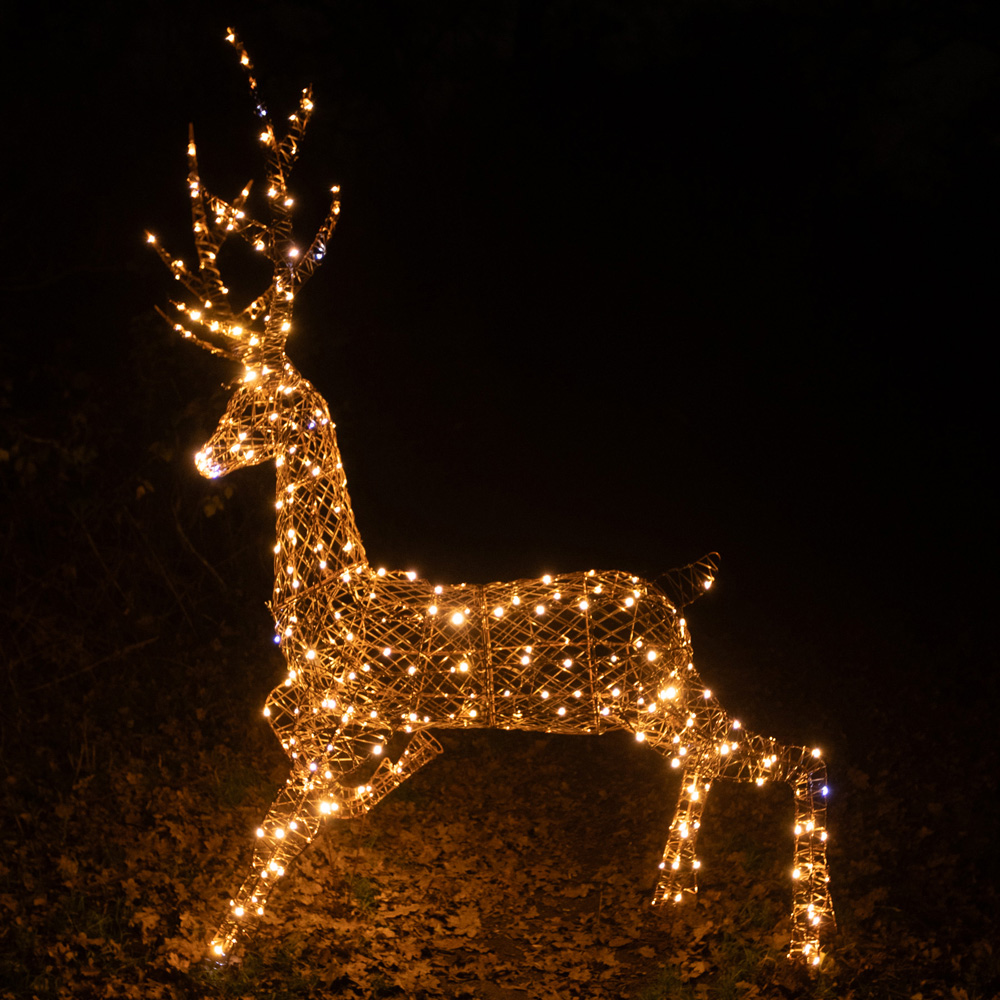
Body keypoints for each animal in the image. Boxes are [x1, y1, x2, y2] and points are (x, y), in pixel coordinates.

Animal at [148, 29, 833, 970]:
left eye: (261, 403)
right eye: (229, 396)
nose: (206, 459)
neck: (332, 593)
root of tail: (675, 591)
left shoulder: (350, 703)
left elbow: (293, 803)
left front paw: (225, 935)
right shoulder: (336, 702)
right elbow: (310, 726)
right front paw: (361, 799)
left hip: (661, 695)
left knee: (803, 754)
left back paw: (809, 942)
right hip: (656, 709)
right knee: (720, 760)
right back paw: (673, 893)